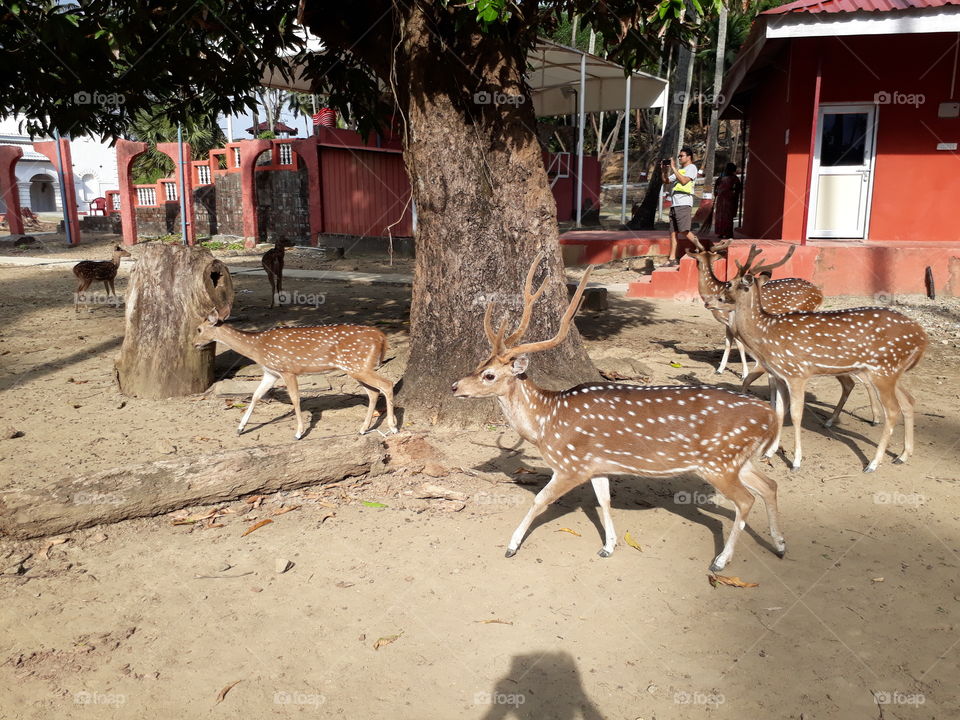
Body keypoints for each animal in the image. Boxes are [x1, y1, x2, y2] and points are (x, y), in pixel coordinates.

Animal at [195, 308, 398, 439]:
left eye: (198, 329)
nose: (194, 343)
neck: (257, 348)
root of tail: (382, 337)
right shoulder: (271, 372)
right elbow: (256, 395)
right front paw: (240, 428)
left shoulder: (287, 369)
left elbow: (295, 398)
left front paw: (299, 432)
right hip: (355, 368)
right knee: (374, 392)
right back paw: (363, 429)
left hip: (358, 366)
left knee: (387, 384)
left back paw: (393, 426)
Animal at [451, 253, 786, 572]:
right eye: (479, 364)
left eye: (489, 375)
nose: (454, 386)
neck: (546, 423)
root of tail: (771, 416)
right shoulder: (596, 466)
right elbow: (604, 500)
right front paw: (608, 546)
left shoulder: (570, 464)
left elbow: (540, 499)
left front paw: (511, 545)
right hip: (738, 460)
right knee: (770, 485)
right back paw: (780, 544)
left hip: (719, 462)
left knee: (746, 500)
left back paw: (721, 560)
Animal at [723, 246, 927, 472]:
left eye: (729, 283)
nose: (720, 295)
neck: (765, 334)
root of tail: (922, 338)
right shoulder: (780, 376)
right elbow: (779, 411)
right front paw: (768, 453)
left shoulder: (796, 373)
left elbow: (795, 414)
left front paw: (796, 462)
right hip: (892, 373)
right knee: (909, 400)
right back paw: (903, 455)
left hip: (883, 370)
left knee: (892, 410)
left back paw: (873, 464)